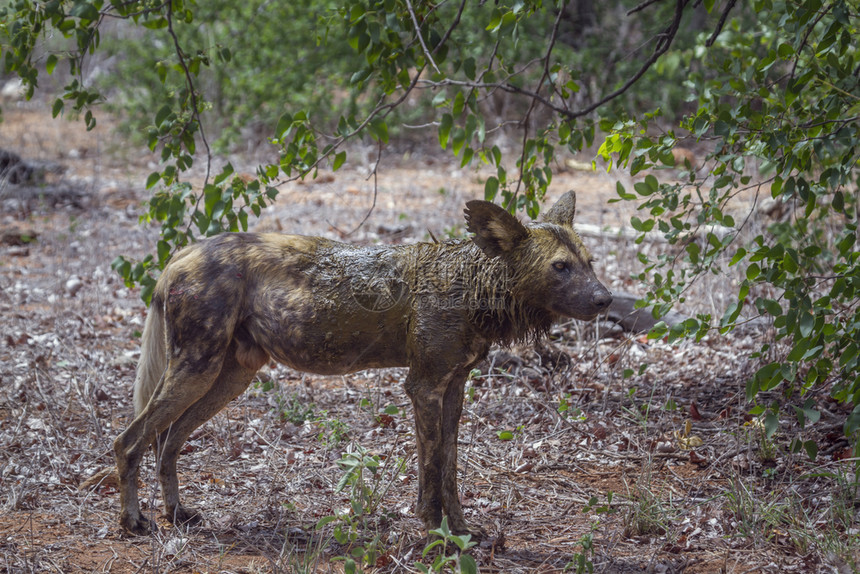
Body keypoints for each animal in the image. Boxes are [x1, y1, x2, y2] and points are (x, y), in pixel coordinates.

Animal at [114, 191, 612, 536]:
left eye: (589, 262)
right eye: (560, 267)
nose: (605, 299)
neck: (471, 287)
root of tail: (183, 252)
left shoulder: (452, 389)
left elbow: (448, 470)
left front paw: (462, 531)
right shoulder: (424, 387)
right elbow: (433, 469)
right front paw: (435, 533)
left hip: (227, 378)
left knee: (167, 443)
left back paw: (177, 513)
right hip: (195, 371)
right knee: (128, 442)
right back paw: (134, 523)